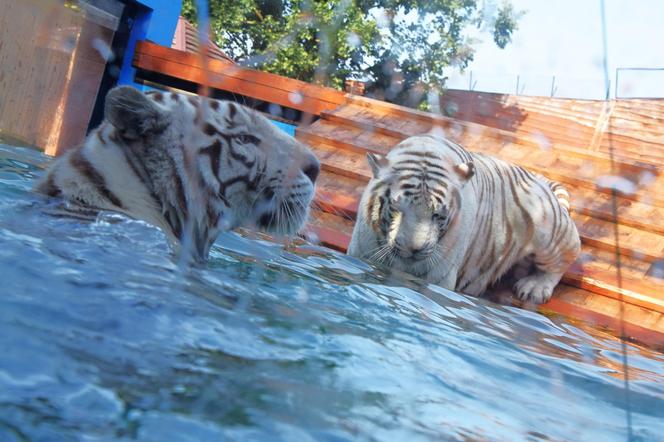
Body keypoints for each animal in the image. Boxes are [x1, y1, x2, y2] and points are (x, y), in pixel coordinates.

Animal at [350, 135, 580, 304]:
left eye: (438, 215)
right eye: (397, 207)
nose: (413, 250)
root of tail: (540, 179)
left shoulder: (437, 277)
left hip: (549, 229)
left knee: (567, 255)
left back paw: (534, 288)